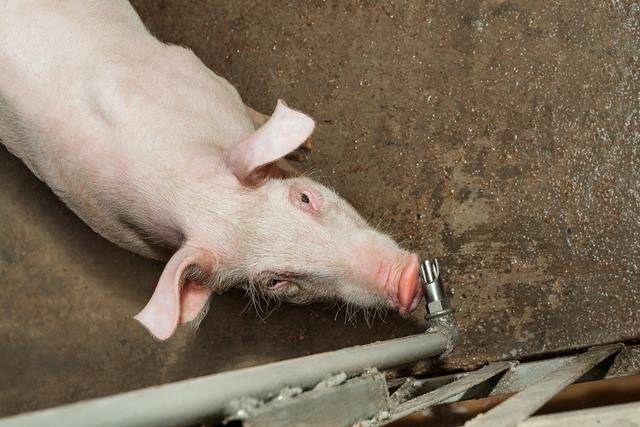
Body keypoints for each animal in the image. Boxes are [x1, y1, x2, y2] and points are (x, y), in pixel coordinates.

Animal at [1, 0, 424, 342]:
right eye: (274, 281)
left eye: (305, 197)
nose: (404, 281)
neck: (179, 183)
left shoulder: (197, 72)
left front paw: (302, 150)